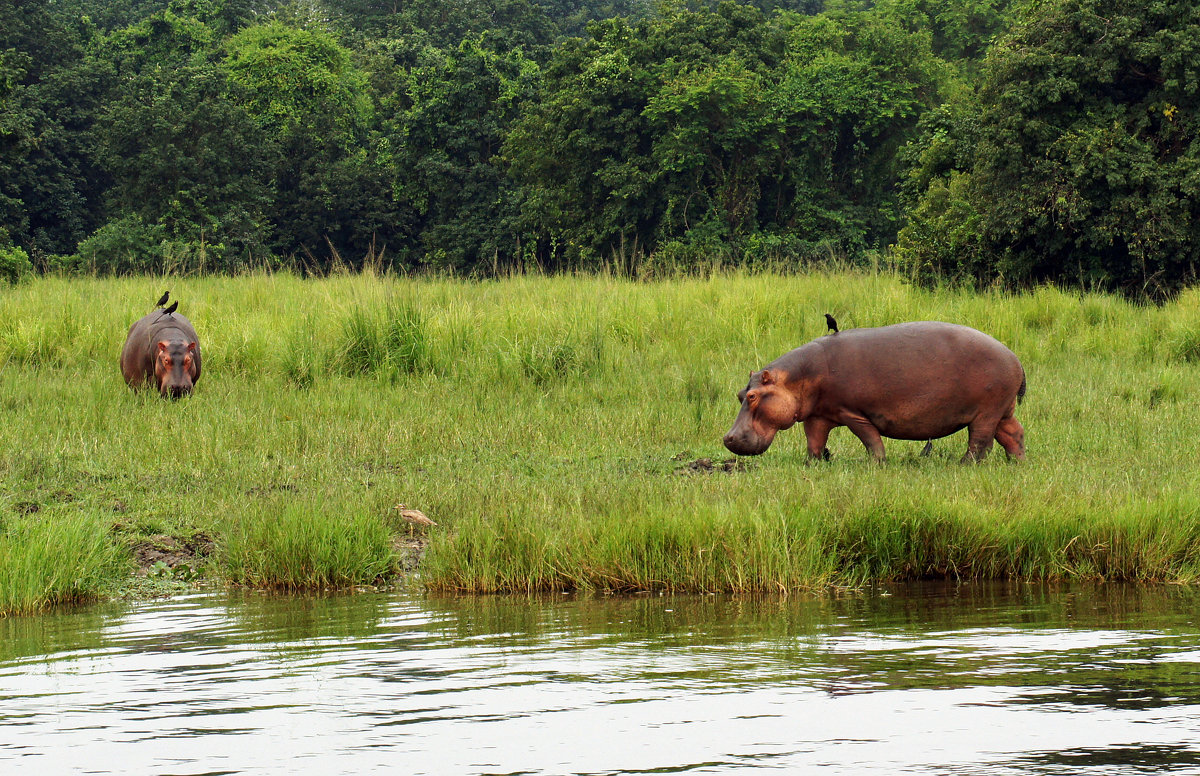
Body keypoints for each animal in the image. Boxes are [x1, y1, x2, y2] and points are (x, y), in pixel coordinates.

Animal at [720, 321, 1022, 465]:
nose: (728, 438)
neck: (798, 377)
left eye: (752, 396)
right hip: (1002, 411)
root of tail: (1015, 358)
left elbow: (869, 438)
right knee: (1013, 434)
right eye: (739, 394)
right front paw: (810, 464)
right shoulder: (818, 415)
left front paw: (877, 463)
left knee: (980, 442)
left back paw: (963, 465)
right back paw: (1017, 463)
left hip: (986, 412)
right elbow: (814, 441)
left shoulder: (851, 412)